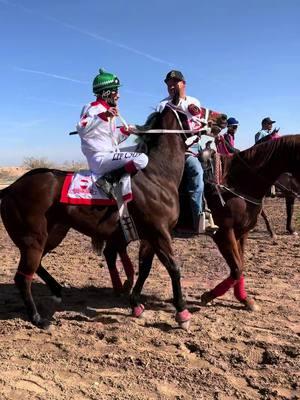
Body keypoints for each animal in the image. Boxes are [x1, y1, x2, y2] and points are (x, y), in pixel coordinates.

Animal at [1, 101, 202, 330]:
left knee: (37, 265)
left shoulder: (151, 236)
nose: (220, 120)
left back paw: (56, 291)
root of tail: (10, 188)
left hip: (52, 234)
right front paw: (182, 313)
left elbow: (144, 268)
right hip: (32, 239)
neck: (156, 176)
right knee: (22, 278)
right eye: (194, 108)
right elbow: (173, 268)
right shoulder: (159, 232)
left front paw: (135, 303)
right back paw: (37, 318)